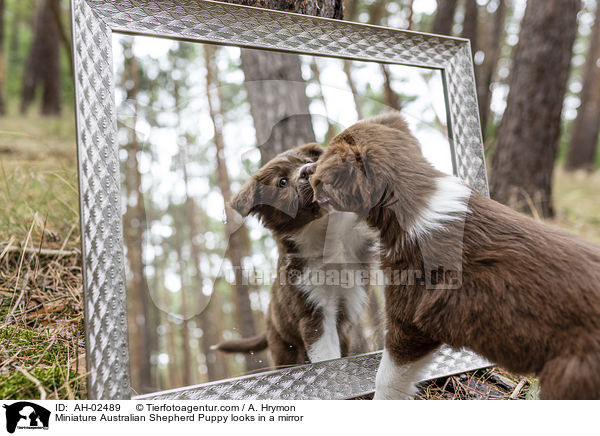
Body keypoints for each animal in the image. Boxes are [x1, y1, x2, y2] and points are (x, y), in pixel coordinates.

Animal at [213, 142, 378, 364]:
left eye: (308, 160)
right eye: (282, 182)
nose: (308, 170)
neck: (324, 233)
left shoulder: (349, 301)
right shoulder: (313, 308)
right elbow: (326, 354)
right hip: (283, 348)